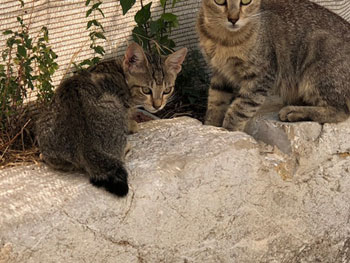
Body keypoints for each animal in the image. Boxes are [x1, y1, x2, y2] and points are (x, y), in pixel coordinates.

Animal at [36, 42, 187, 196]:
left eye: (167, 90)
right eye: (146, 90)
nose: (158, 105)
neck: (118, 70)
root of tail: (85, 146)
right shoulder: (123, 103)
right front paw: (132, 124)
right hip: (112, 102)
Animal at [197, 0, 350, 131]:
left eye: (246, 2)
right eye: (219, 1)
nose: (233, 19)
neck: (223, 39)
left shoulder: (260, 76)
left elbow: (240, 109)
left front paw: (230, 131)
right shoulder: (220, 73)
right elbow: (215, 103)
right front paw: (211, 126)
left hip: (318, 60)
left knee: (341, 111)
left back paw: (294, 111)